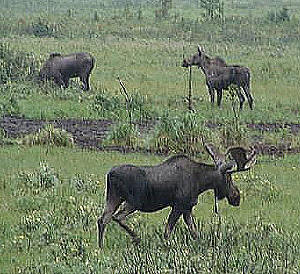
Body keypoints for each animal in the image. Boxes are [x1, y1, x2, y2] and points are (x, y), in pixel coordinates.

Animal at [98, 144, 255, 247]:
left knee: (103, 219)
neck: (200, 183)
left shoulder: (187, 208)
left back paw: (101, 246)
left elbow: (194, 232)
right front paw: (166, 246)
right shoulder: (179, 205)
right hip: (132, 202)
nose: (236, 197)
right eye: (229, 178)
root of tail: (110, 174)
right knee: (117, 217)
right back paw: (137, 238)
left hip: (113, 197)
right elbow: (167, 231)